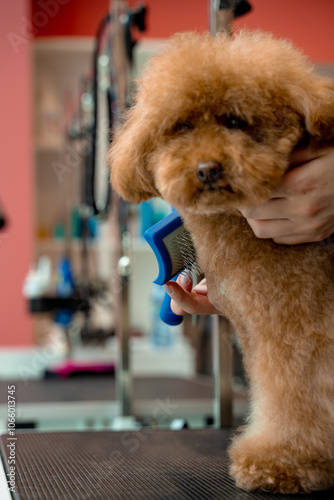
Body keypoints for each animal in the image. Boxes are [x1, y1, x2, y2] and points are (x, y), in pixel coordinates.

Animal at [108, 32, 334, 496]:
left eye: (235, 121)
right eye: (182, 126)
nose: (207, 169)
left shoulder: (299, 331)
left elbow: (295, 396)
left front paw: (284, 462)